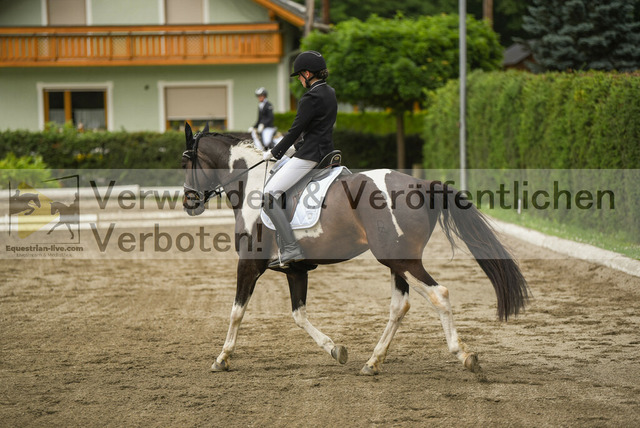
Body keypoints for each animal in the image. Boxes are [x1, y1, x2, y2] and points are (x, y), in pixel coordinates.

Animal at [181, 123, 529, 375]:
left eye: (186, 160)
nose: (188, 202)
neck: (251, 184)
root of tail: (422, 185)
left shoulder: (249, 264)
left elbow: (237, 311)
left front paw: (222, 358)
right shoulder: (295, 270)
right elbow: (299, 315)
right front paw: (336, 349)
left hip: (402, 259)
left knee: (438, 294)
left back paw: (465, 355)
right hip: (397, 261)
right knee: (400, 306)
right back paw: (373, 362)